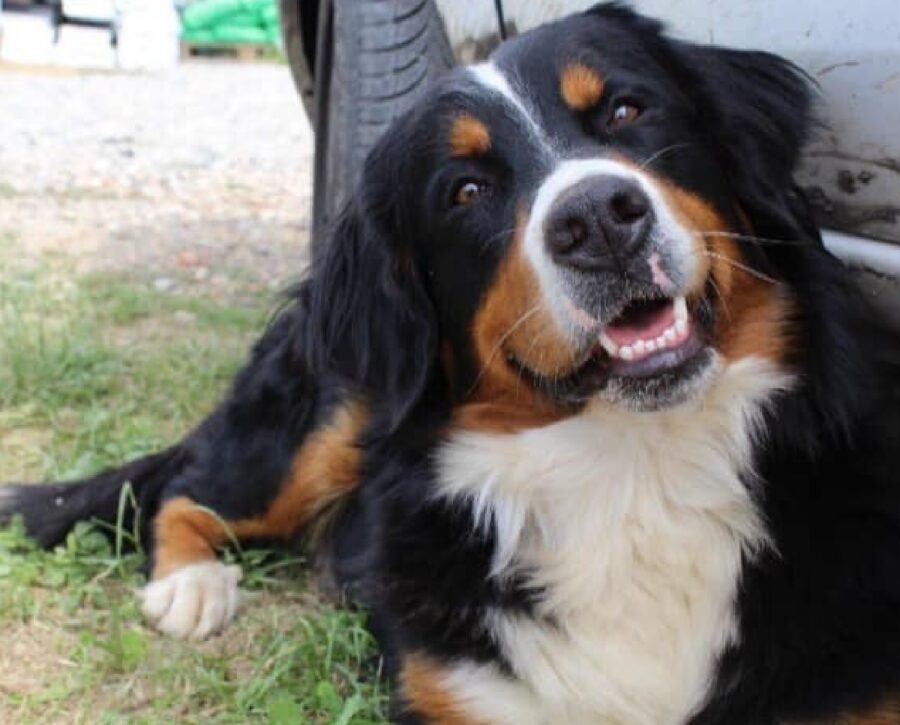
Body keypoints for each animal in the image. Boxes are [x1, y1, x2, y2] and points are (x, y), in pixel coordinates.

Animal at [1, 5, 900, 724]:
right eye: (465, 191)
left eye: (627, 109)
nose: (599, 220)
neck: (633, 469)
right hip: (331, 421)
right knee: (188, 488)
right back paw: (192, 585)